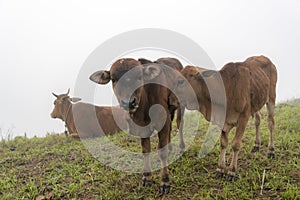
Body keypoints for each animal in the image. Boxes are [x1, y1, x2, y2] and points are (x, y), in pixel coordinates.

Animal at [89, 57, 183, 194]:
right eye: (114, 79)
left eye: (139, 77)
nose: (129, 102)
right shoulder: (142, 128)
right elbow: (145, 150)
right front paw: (146, 177)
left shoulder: (162, 121)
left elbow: (162, 152)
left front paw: (165, 181)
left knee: (179, 124)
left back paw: (182, 146)